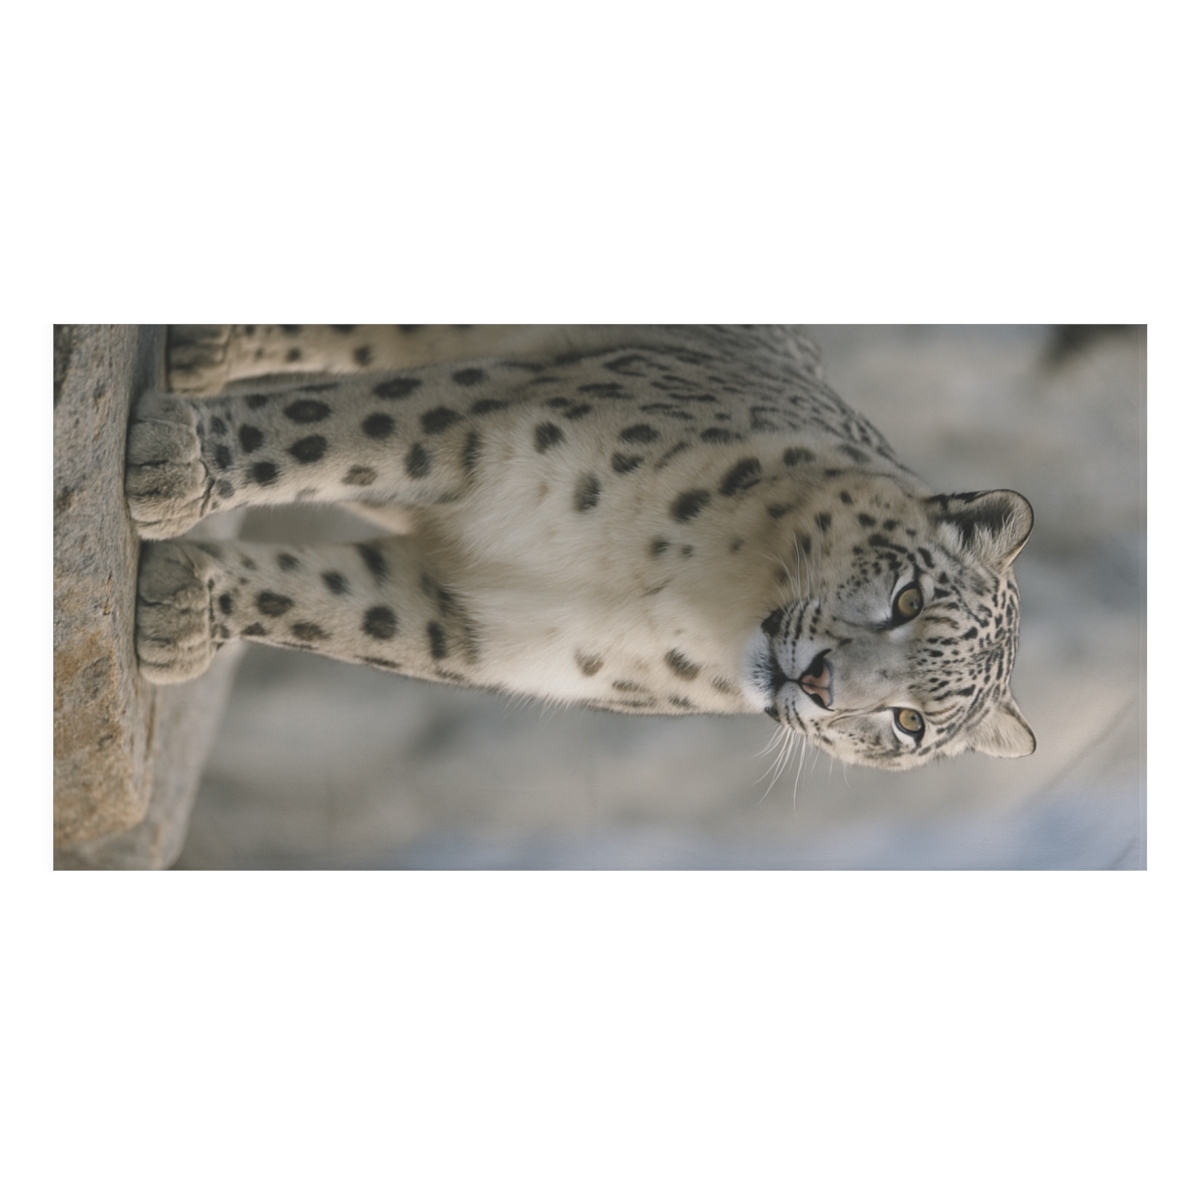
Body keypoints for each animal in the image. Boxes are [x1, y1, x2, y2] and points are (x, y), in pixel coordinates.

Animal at [125, 324, 1036, 770]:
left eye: (911, 723)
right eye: (908, 597)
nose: (816, 682)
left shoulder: (482, 626)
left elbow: (329, 612)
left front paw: (179, 611)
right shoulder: (485, 418)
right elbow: (327, 430)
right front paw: (173, 464)